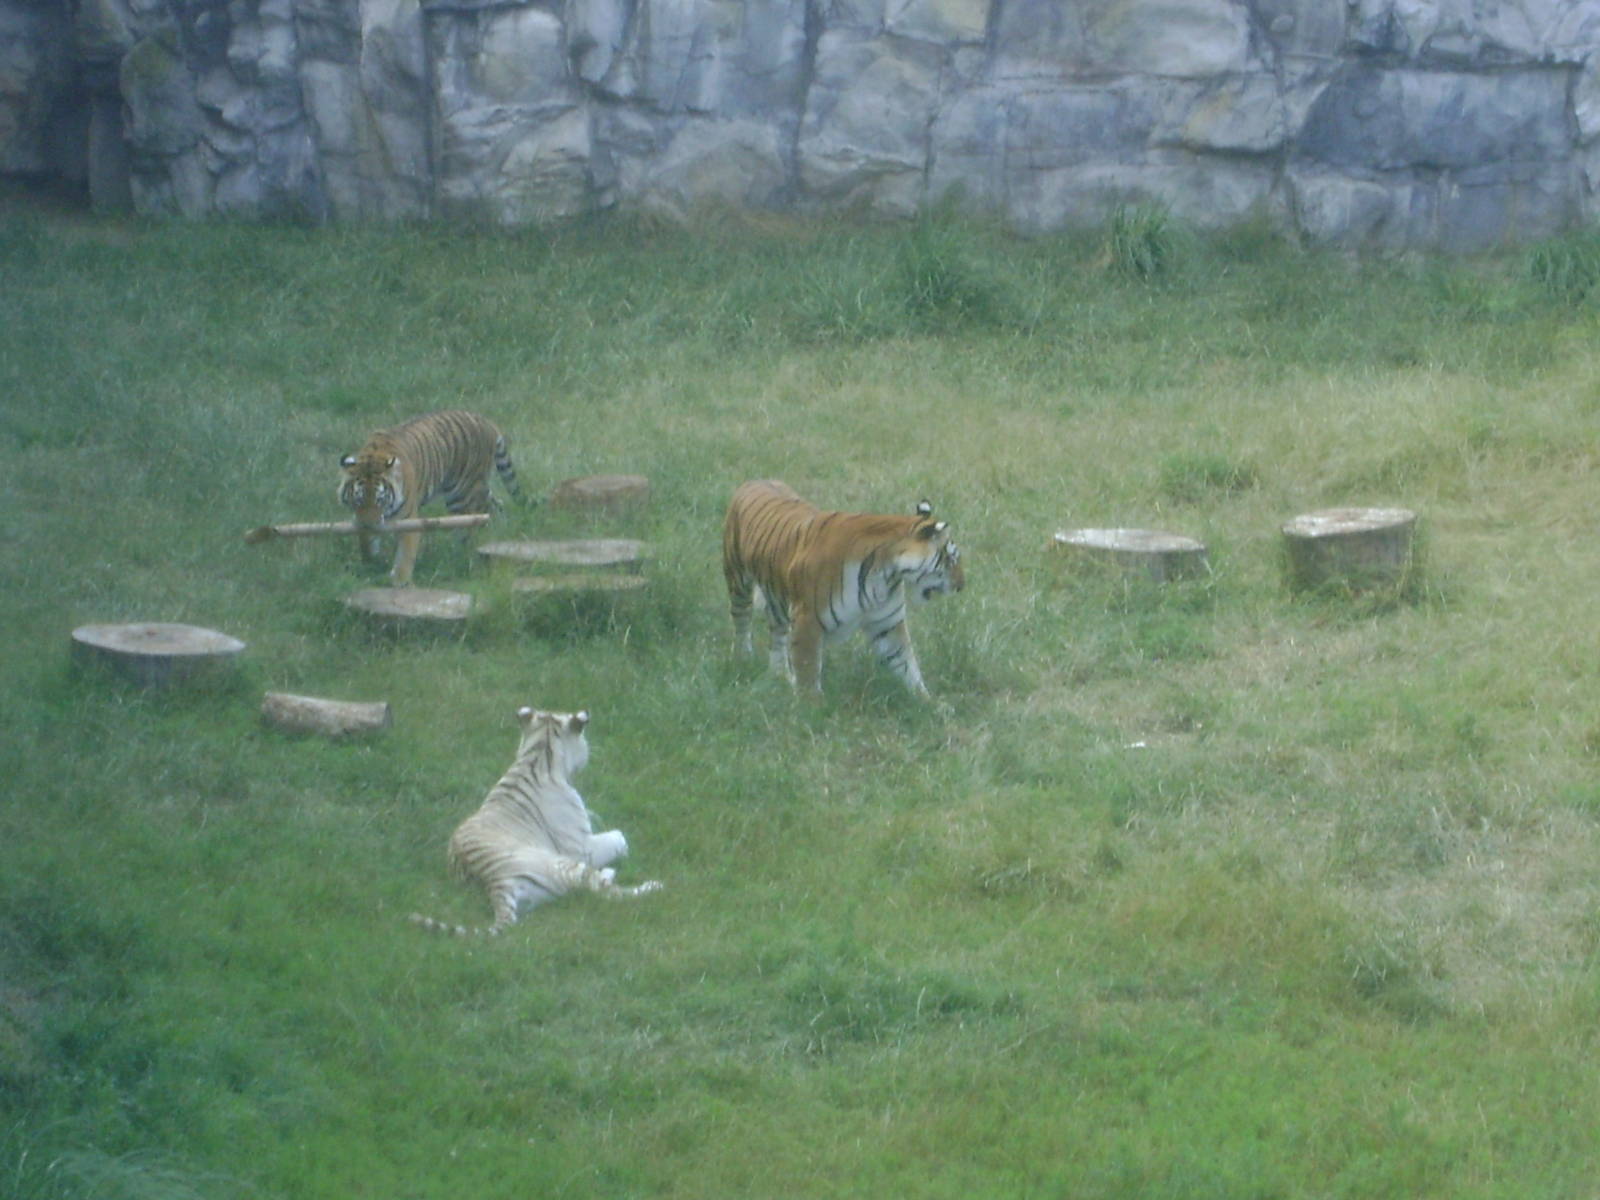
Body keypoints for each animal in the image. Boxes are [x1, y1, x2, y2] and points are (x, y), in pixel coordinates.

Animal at [337, 409, 523, 586]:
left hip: (463, 496)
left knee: (469, 528)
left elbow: (405, 554)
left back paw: (465, 555)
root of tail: (486, 422)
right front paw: (371, 565)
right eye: (358, 500)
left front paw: (400, 581)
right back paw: (500, 531)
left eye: (379, 500)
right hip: (476, 489)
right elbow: (367, 544)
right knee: (495, 506)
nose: (369, 525)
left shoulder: (408, 519)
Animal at [409, 706, 663, 937]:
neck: (538, 756)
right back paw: (654, 886)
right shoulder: (581, 849)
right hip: (566, 866)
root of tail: (493, 883)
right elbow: (619, 837)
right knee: (609, 894)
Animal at [721, 479, 965, 699]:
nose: (962, 586)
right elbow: (808, 668)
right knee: (741, 620)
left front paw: (928, 703)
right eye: (951, 559)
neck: (886, 574)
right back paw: (743, 657)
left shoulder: (887, 624)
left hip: (777, 599)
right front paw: (812, 707)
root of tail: (755, 480)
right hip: (738, 580)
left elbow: (906, 664)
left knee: (777, 635)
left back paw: (781, 675)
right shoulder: (807, 620)